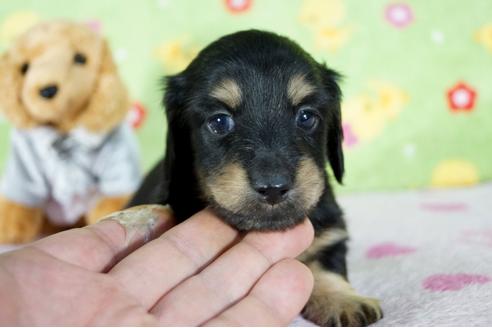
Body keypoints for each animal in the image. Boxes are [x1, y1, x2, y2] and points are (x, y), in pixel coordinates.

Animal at [131, 30, 384, 326]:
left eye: (306, 116)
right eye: (219, 121)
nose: (273, 188)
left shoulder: (330, 232)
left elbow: (326, 264)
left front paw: (343, 300)